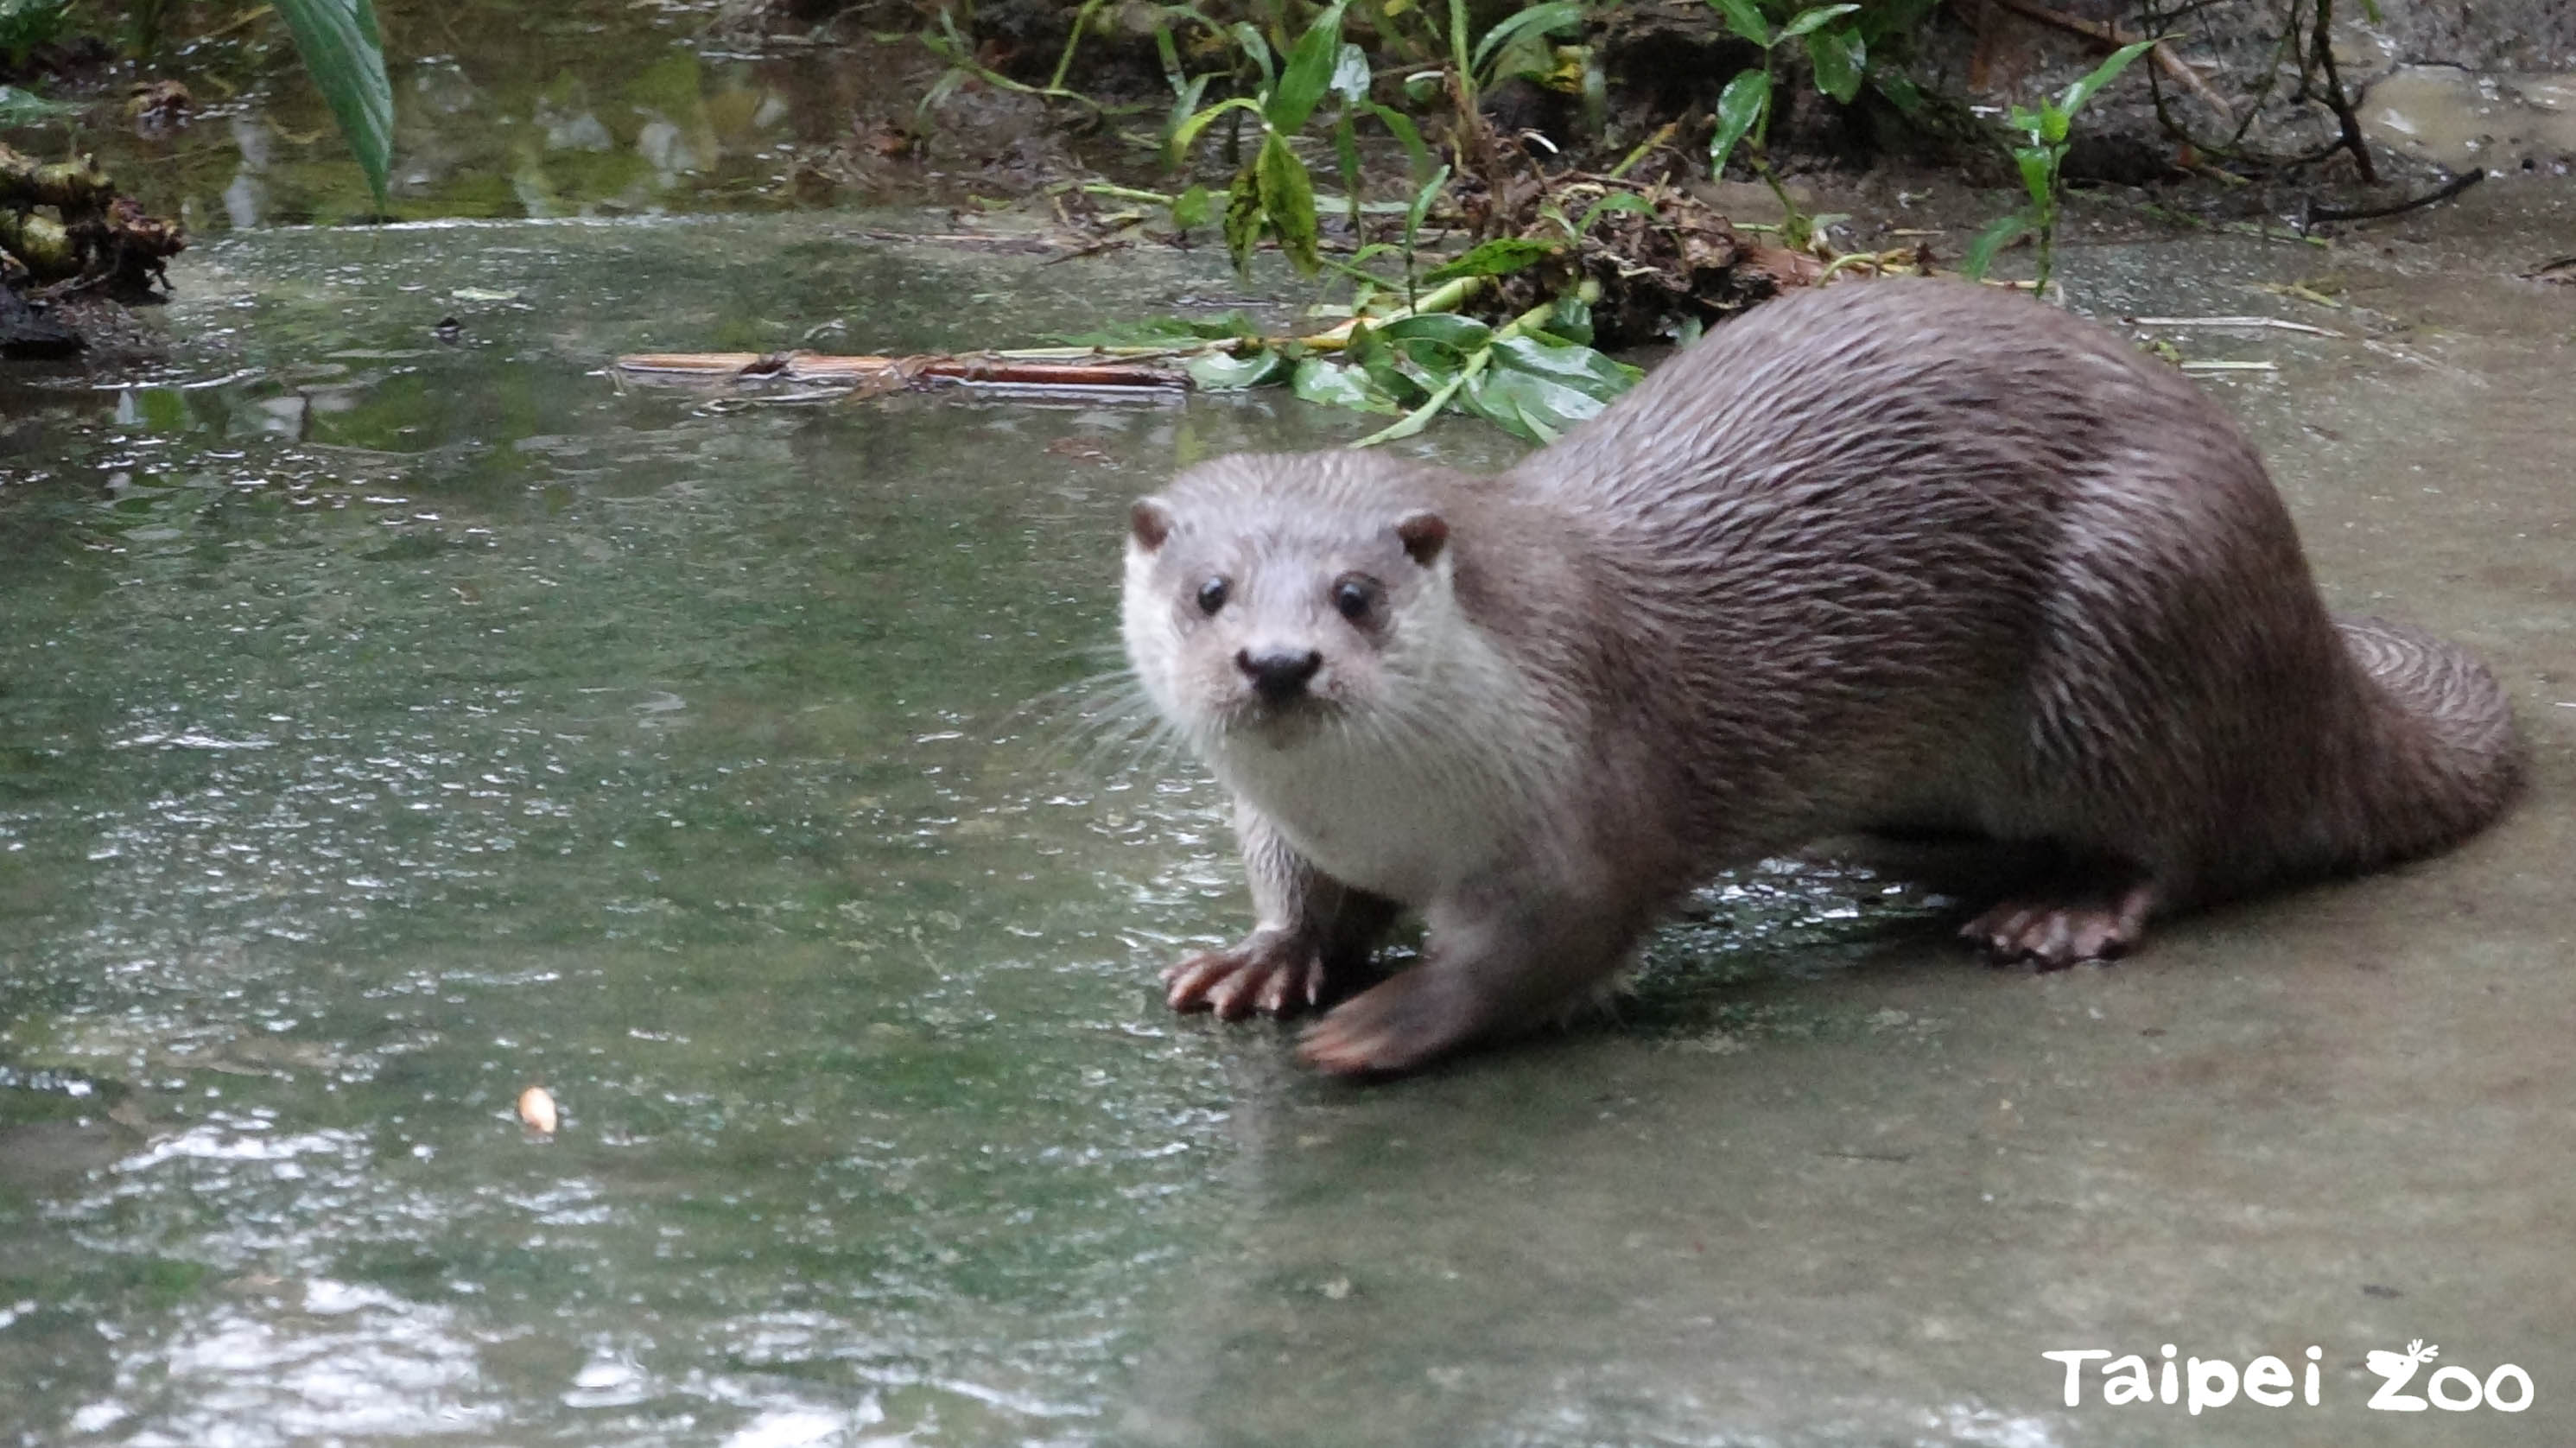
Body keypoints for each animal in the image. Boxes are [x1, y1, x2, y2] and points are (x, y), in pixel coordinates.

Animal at [1118, 279, 2524, 1071]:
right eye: (1210, 592)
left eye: (1358, 594)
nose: (1280, 662)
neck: (1391, 815)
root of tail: (2309, 633)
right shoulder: (1294, 830)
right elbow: (1304, 900)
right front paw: (1262, 960)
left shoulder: (1590, 798)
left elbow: (1544, 945)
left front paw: (1385, 1022)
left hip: (2139, 601)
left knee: (2191, 839)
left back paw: (2059, 912)